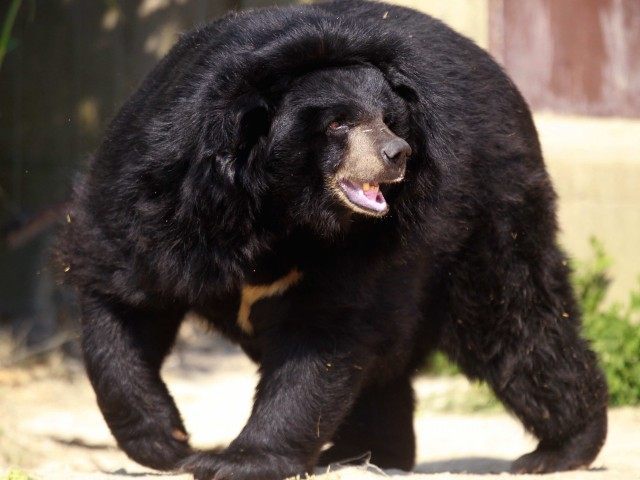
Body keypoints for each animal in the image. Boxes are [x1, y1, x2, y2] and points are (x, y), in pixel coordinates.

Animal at [58, 1, 608, 479]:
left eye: (388, 117)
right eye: (339, 123)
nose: (397, 153)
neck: (280, 213)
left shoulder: (366, 249)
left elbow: (322, 338)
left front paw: (232, 461)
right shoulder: (158, 200)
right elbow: (124, 301)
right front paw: (167, 442)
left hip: (487, 211)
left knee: (517, 321)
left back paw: (560, 447)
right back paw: (368, 452)